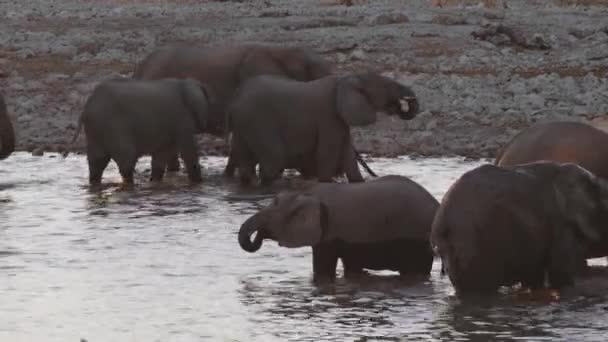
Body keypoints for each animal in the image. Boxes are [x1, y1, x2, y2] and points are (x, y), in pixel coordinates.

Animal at [72, 77, 211, 187]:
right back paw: (130, 185)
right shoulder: (182, 118)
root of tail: (86, 108)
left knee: (97, 162)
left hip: (96, 129)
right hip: (113, 126)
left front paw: (155, 183)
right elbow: (188, 151)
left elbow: (161, 155)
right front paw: (198, 183)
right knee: (126, 160)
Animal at [226, 70, 420, 186]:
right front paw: (327, 182)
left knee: (244, 158)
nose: (407, 101)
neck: (346, 79)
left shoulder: (340, 119)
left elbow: (347, 154)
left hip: (244, 123)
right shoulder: (329, 117)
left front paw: (358, 183)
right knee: (274, 158)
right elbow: (329, 151)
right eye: (386, 86)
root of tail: (236, 95)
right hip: (257, 120)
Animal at [236, 175, 436, 282]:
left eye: (275, 205)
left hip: (417, 239)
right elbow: (352, 268)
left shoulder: (328, 235)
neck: (306, 192)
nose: (259, 234)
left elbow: (323, 269)